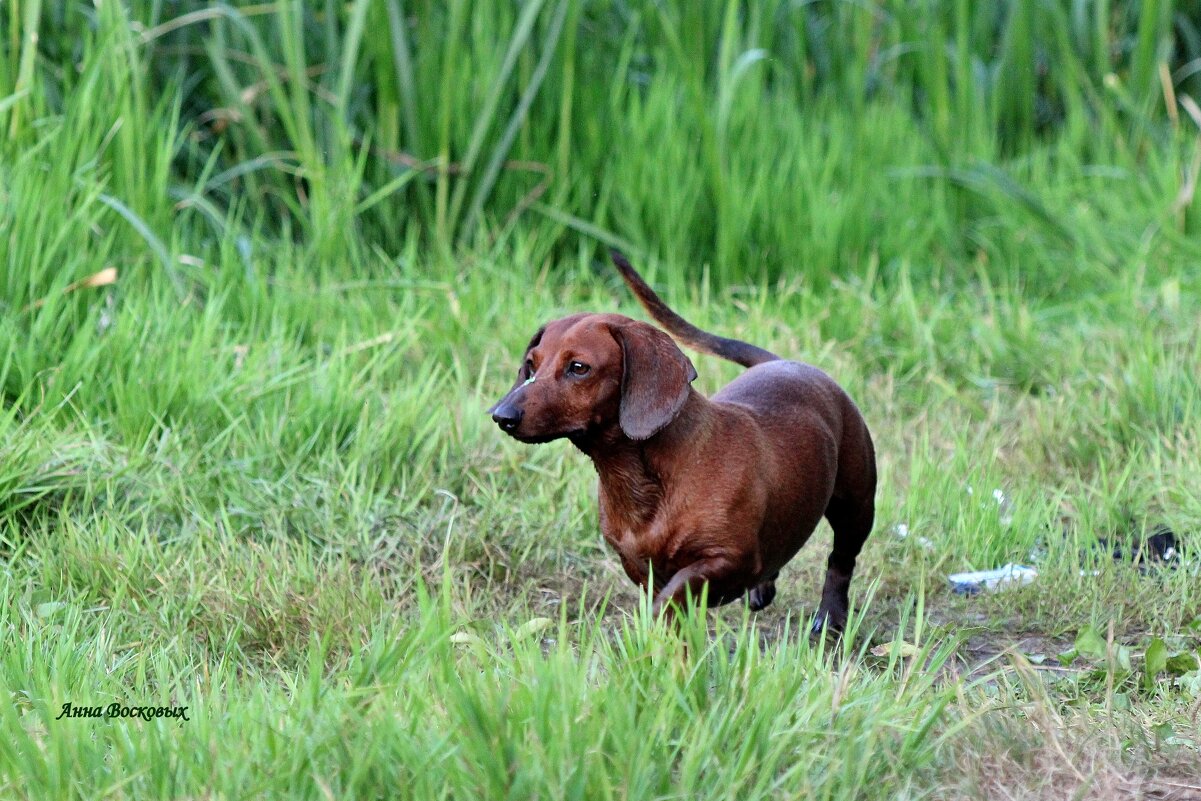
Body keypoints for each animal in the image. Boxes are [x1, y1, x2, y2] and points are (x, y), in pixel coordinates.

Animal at [487, 253, 874, 634]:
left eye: (579, 367)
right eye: (530, 364)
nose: (501, 415)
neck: (646, 480)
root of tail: (784, 363)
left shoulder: (729, 560)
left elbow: (673, 596)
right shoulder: (640, 567)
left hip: (855, 506)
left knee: (841, 561)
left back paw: (830, 618)